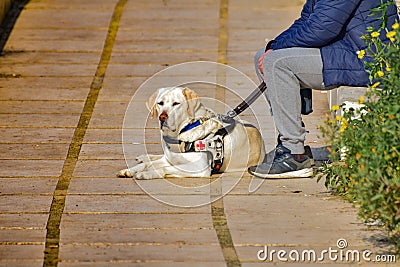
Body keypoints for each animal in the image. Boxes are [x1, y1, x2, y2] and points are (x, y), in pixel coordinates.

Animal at [117, 88, 264, 180]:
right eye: (160, 103)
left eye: (176, 104)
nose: (162, 117)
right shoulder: (170, 159)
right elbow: (149, 164)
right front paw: (130, 170)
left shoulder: (199, 167)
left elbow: (165, 168)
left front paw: (146, 174)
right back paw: (144, 157)